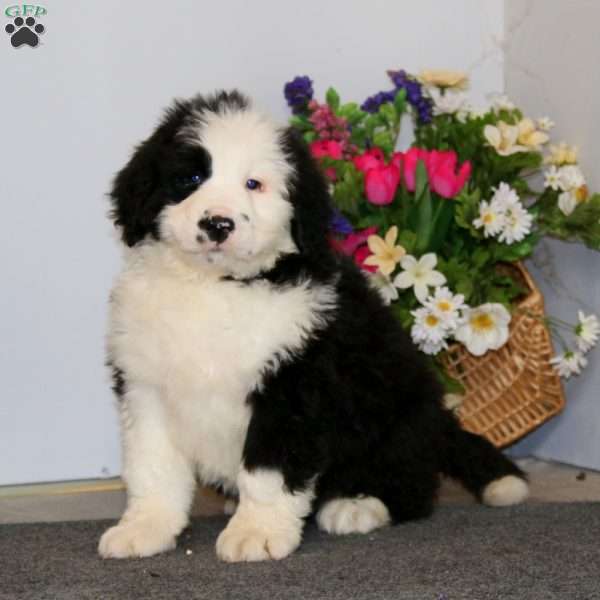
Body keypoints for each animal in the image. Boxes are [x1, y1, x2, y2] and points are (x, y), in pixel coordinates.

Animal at [99, 90, 528, 564]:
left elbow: (268, 470)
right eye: (191, 177)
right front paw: (144, 528)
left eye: (254, 184)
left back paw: (356, 506)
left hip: (396, 414)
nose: (217, 224)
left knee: (412, 489)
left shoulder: (293, 384)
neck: (215, 286)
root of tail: (439, 418)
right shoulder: (146, 384)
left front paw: (256, 533)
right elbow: (152, 467)